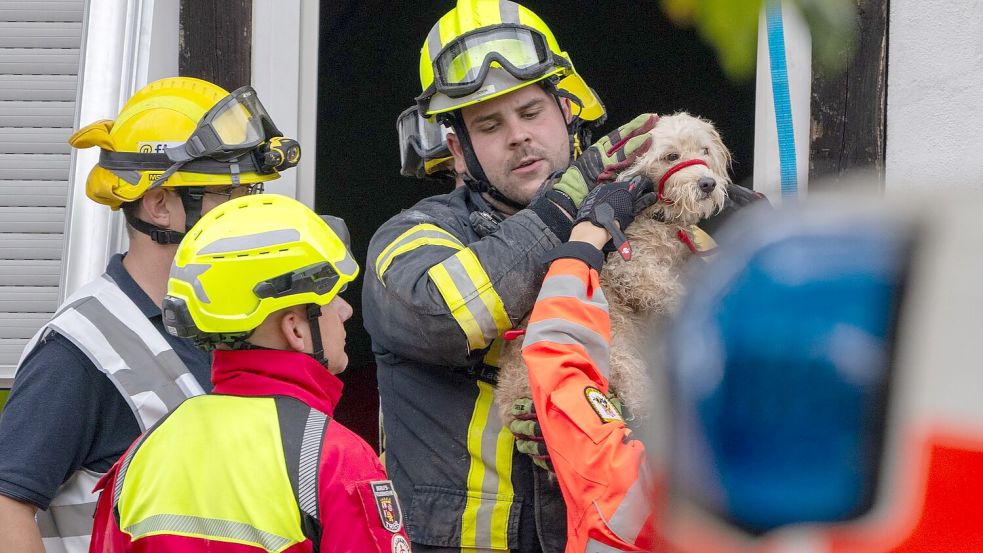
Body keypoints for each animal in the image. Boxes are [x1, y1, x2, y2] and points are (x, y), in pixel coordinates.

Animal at [500, 112, 732, 430]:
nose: (707, 183)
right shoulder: (632, 268)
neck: (658, 219)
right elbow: (669, 289)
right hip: (619, 359)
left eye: (705, 151)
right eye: (671, 156)